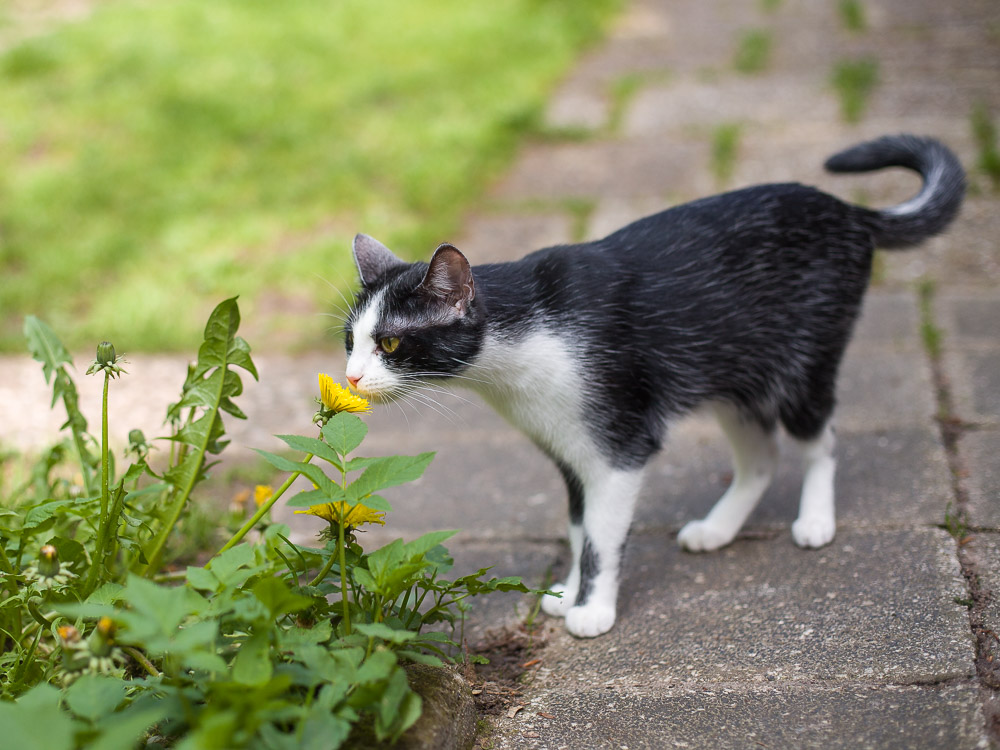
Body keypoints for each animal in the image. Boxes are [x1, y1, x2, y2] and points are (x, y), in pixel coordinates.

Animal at [342, 137, 960, 640]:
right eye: (350, 340)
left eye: (391, 344)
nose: (349, 376)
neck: (522, 349)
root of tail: (848, 210)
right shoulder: (570, 452)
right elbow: (577, 527)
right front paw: (569, 592)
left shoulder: (620, 445)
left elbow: (600, 536)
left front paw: (591, 608)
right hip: (735, 379)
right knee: (761, 456)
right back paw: (717, 528)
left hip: (803, 363)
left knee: (820, 439)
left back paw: (814, 521)